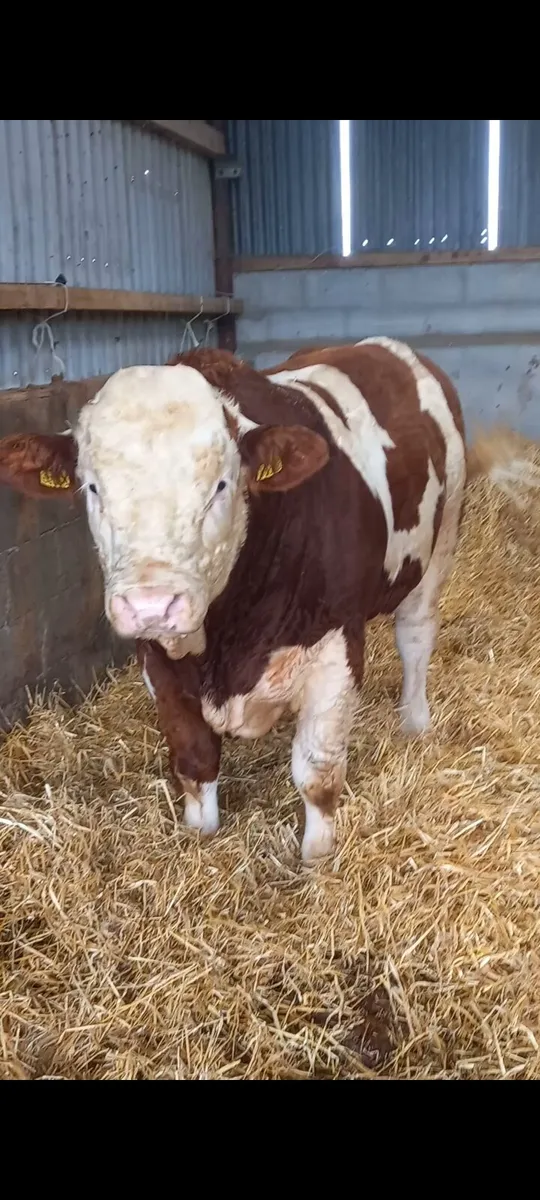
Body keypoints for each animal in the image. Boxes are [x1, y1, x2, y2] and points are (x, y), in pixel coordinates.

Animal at [0, 337, 536, 862]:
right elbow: (194, 762)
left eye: (221, 485)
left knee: (416, 636)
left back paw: (415, 721)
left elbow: (318, 775)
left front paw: (317, 864)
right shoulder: (159, 662)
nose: (152, 604)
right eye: (92, 487)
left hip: (439, 542)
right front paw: (201, 839)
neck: (227, 640)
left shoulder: (335, 651)